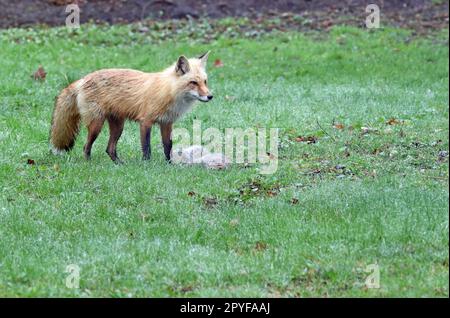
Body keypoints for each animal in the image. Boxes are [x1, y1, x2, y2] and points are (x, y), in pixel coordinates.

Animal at [48, 52, 214, 163]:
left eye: (205, 82)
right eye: (193, 83)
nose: (210, 96)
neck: (168, 90)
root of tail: (82, 79)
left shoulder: (166, 123)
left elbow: (168, 146)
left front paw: (169, 164)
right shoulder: (145, 121)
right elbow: (146, 147)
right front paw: (147, 164)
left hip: (118, 127)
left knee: (109, 149)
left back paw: (119, 164)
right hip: (97, 125)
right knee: (86, 147)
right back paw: (89, 162)